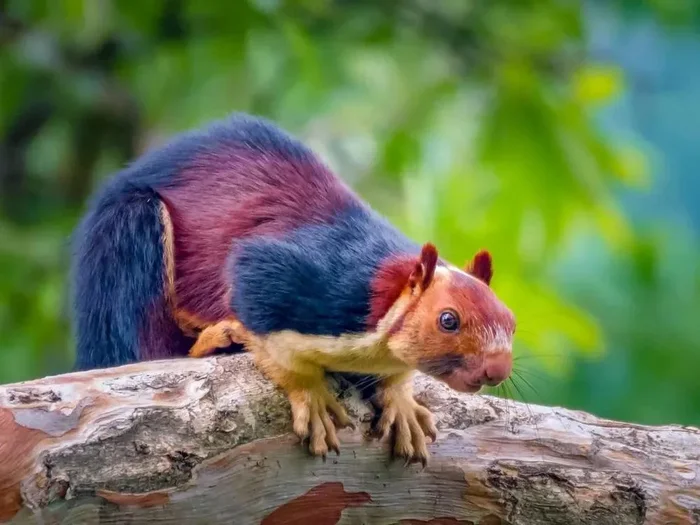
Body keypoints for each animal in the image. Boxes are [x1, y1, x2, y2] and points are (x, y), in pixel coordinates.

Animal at [71, 113, 515, 465]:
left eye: (511, 321)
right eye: (448, 320)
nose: (497, 369)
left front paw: (401, 400)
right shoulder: (299, 279)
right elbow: (269, 327)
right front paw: (311, 395)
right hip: (129, 238)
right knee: (143, 348)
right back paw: (216, 340)